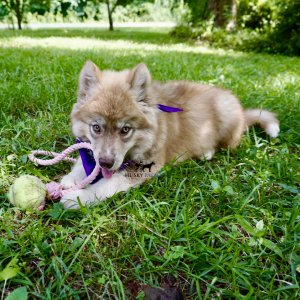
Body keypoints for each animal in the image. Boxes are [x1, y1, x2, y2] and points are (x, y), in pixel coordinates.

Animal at [59, 61, 280, 209]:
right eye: (96, 128)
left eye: (125, 130)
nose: (106, 163)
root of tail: (242, 113)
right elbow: (83, 163)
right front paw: (71, 179)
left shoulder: (145, 167)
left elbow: (106, 185)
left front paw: (78, 198)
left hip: (226, 117)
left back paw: (207, 152)